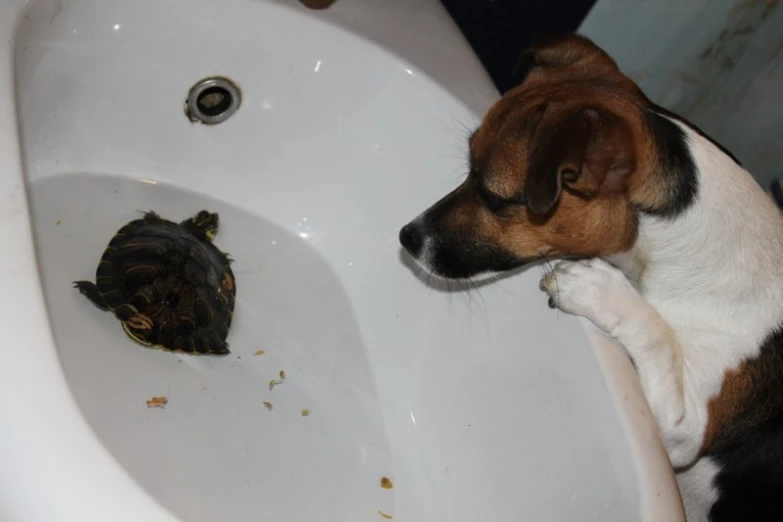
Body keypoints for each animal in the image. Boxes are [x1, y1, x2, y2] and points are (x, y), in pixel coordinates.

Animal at [402, 34, 783, 516]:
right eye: (468, 168)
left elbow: (657, 332)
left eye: (494, 197)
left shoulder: (684, 428)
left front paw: (597, 288)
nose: (407, 236)